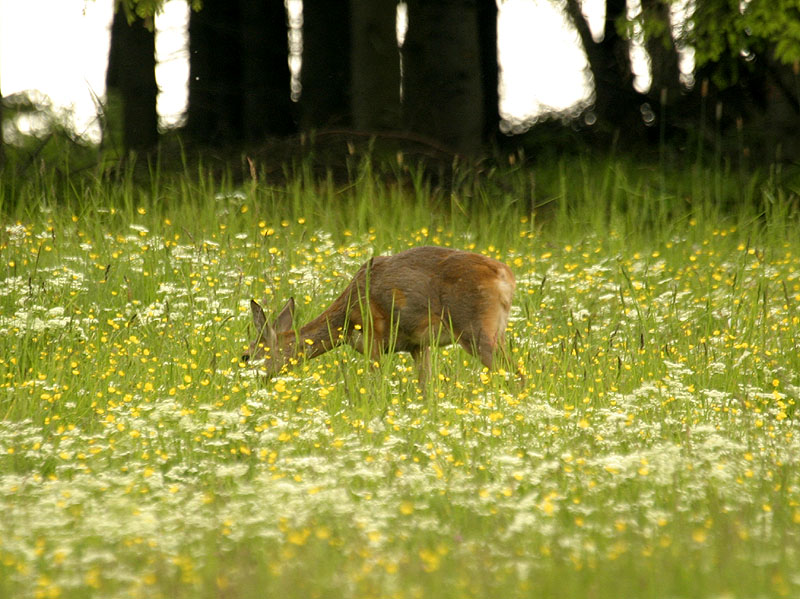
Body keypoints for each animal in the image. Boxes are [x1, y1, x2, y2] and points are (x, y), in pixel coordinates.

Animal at [244, 245, 516, 382]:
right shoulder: (419, 345)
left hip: (476, 329)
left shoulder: (371, 336)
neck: (343, 322)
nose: (248, 383)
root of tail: (505, 276)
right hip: (497, 330)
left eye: (245, 356)